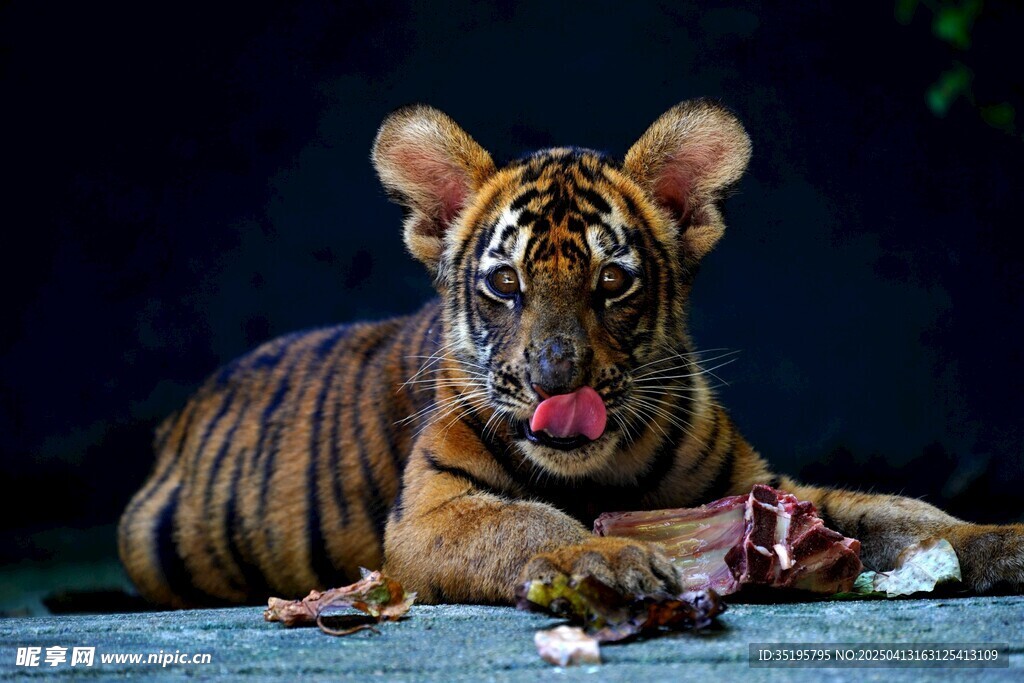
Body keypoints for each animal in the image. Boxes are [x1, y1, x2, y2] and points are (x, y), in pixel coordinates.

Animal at [118, 100, 1024, 608]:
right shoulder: (434, 515)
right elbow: (527, 523)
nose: (559, 378)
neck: (603, 470)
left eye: (612, 280)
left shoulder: (762, 486)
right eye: (506, 282)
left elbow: (898, 512)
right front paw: (608, 557)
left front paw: (997, 539)